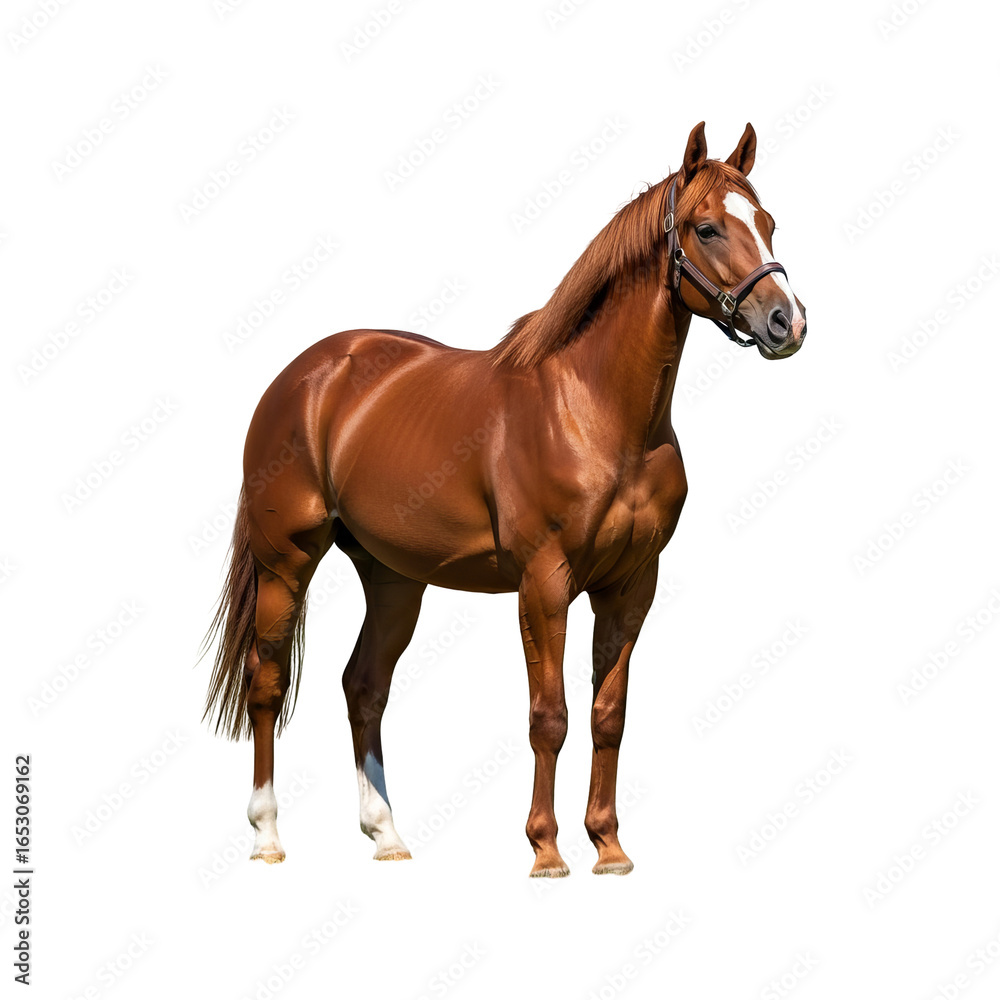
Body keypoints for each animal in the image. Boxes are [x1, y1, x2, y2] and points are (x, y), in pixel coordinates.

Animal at [203, 121, 807, 877]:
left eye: (768, 222)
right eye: (706, 228)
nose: (787, 322)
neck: (593, 409)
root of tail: (303, 375)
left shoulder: (630, 586)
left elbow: (608, 715)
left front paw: (609, 847)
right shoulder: (544, 584)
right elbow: (549, 716)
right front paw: (546, 851)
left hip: (392, 577)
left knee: (363, 686)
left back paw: (387, 834)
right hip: (285, 562)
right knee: (268, 682)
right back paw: (268, 836)